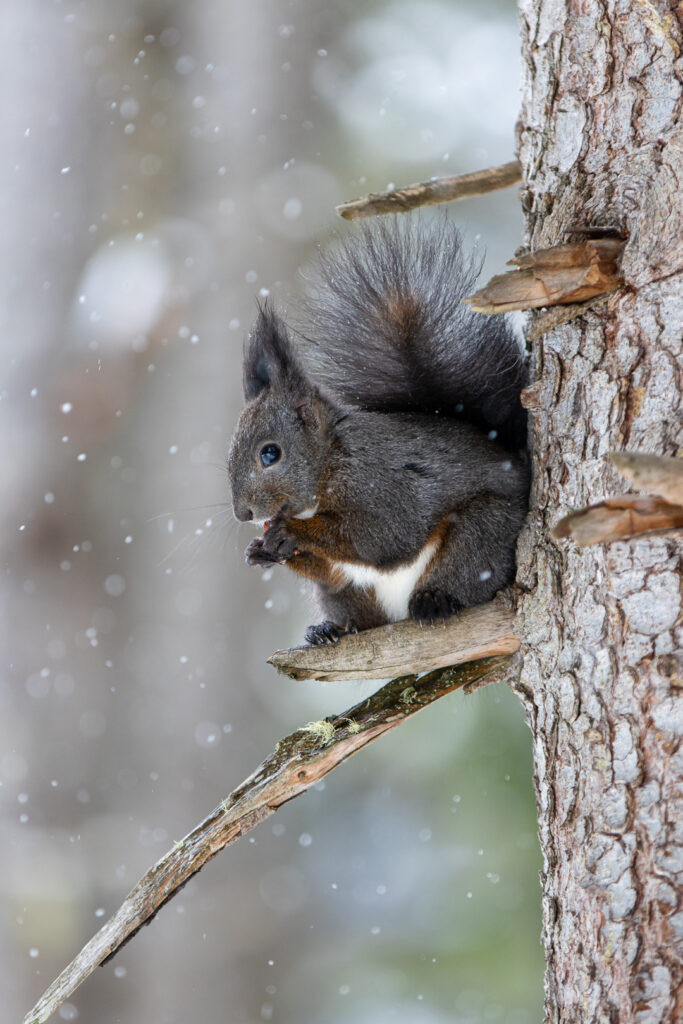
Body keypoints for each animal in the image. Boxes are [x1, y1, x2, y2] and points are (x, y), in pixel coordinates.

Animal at [228, 217, 530, 645]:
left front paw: (292, 533)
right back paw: (329, 629)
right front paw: (262, 550)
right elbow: (333, 565)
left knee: (468, 569)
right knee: (348, 598)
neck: (330, 459)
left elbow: (380, 539)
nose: (244, 514)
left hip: (484, 528)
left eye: (270, 453)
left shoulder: (382, 483)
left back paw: (435, 600)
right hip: (346, 595)